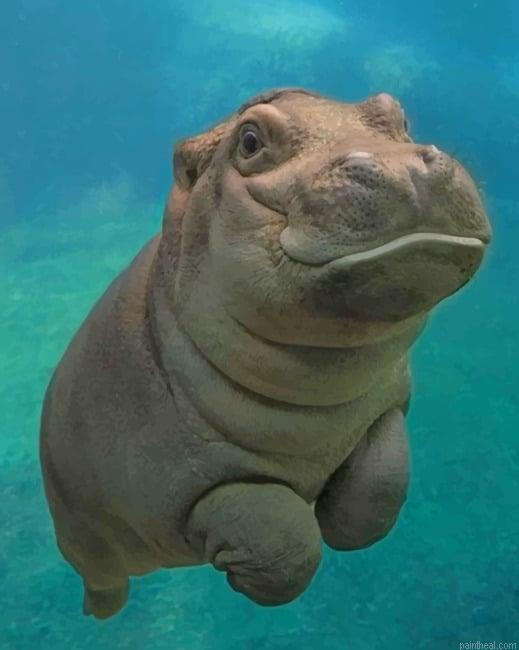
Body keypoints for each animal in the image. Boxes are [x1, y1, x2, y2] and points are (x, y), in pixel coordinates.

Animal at [39, 88, 491, 619]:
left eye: (397, 114)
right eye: (250, 141)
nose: (404, 167)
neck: (318, 394)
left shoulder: (386, 406)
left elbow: (382, 482)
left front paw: (343, 526)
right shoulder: (182, 486)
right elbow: (282, 539)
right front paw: (253, 575)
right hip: (84, 540)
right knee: (104, 578)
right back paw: (100, 613)